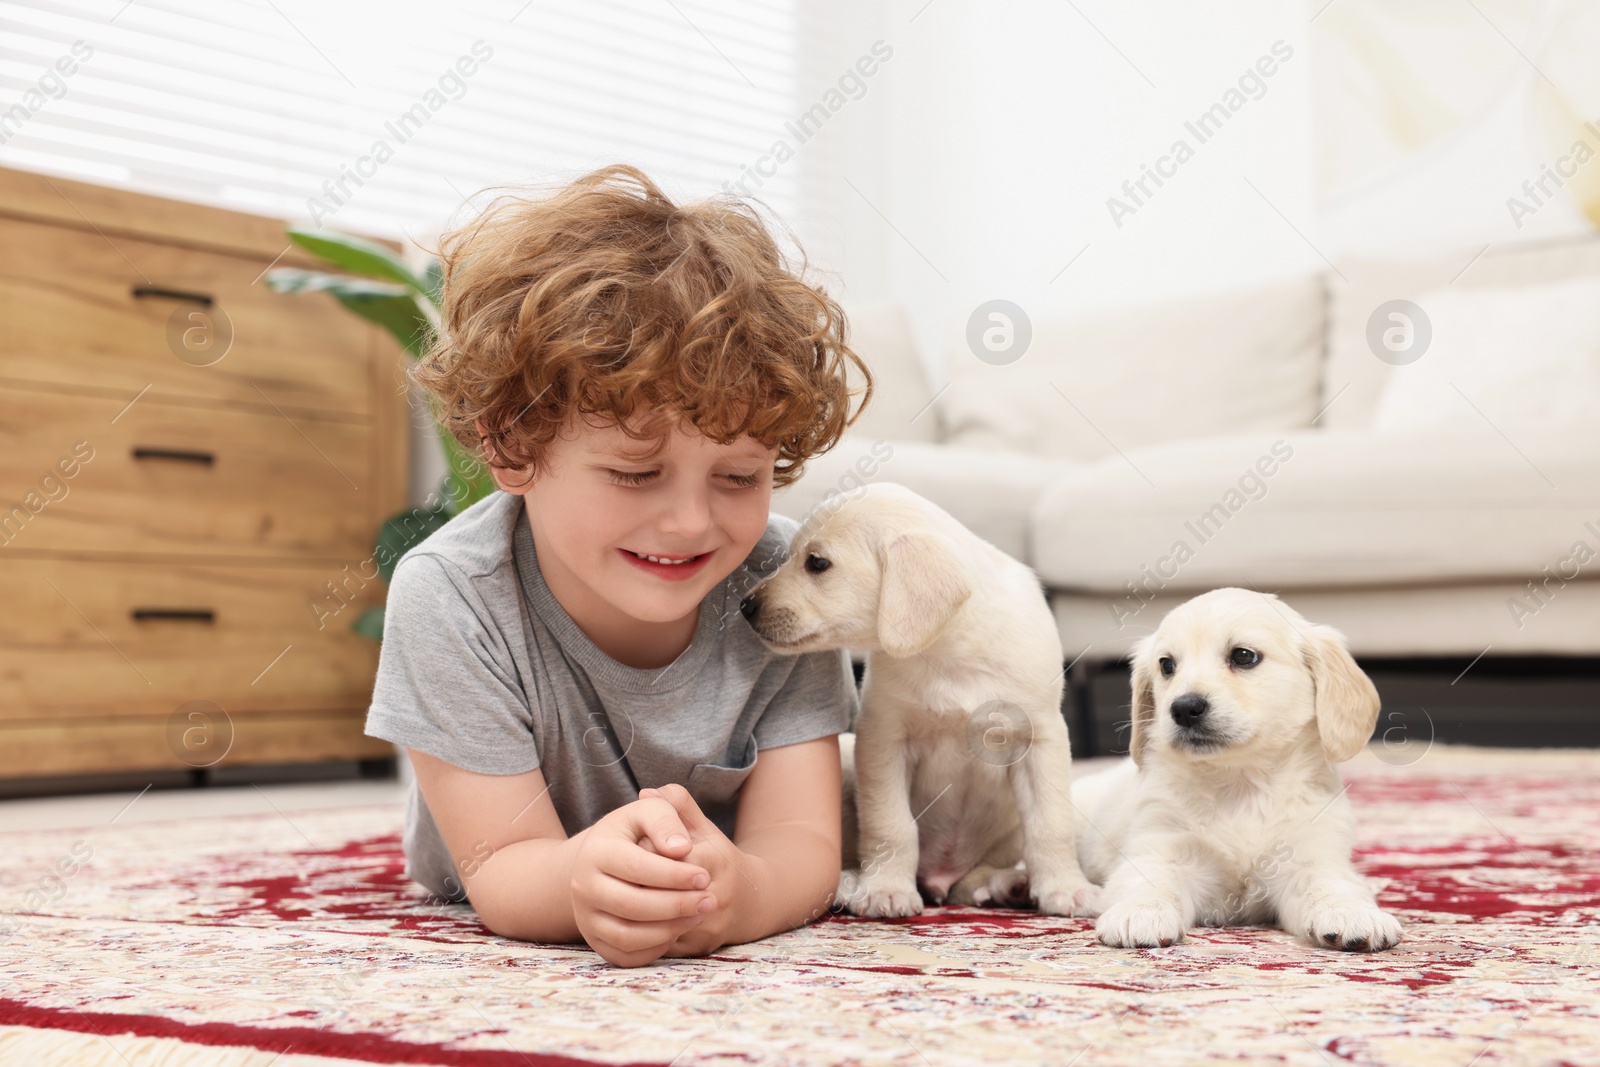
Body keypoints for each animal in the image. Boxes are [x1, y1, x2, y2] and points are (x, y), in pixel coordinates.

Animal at [739, 483, 1100, 921]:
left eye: (817, 563)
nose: (745, 607)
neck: (948, 652)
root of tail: (939, 880)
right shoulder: (883, 740)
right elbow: (891, 826)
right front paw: (886, 889)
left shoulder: (1040, 739)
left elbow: (1051, 824)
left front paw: (1066, 888)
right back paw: (852, 883)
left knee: (972, 881)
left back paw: (1007, 885)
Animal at [1075, 591, 1401, 953]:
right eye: (1166, 665)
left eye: (1243, 656)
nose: (1183, 708)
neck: (1240, 783)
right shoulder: (1159, 847)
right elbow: (1148, 881)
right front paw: (1142, 912)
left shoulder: (1310, 855)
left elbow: (1332, 885)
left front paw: (1352, 913)